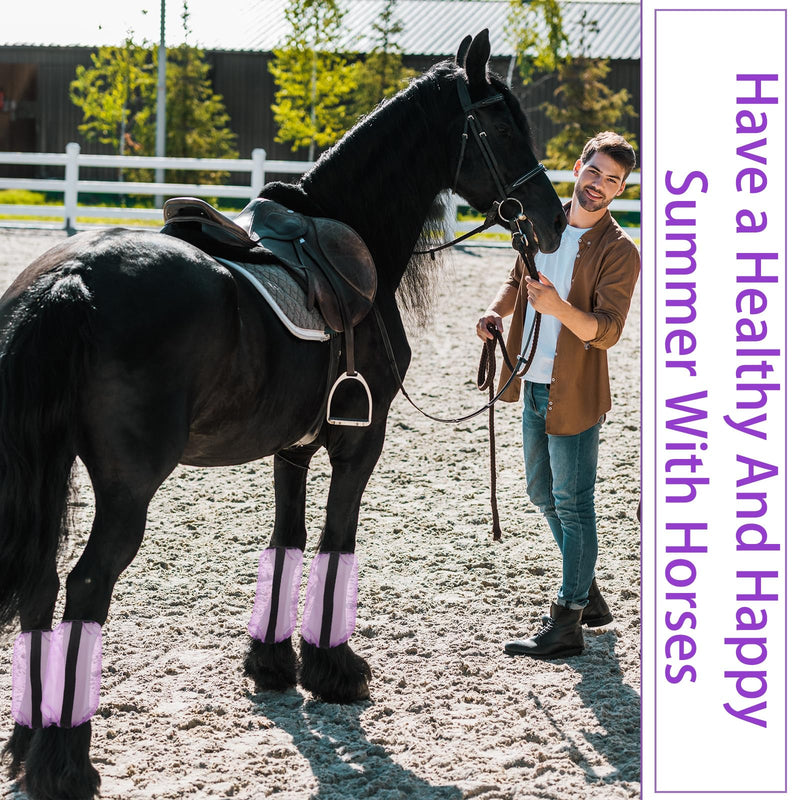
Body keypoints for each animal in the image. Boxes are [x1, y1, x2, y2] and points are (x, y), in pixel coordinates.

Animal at [0, 30, 565, 800]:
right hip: (126, 489)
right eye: (502, 126)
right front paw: (335, 669)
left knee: (39, 584)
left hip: (45, 469)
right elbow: (335, 542)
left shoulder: (291, 447)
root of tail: (68, 279)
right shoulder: (360, 440)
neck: (356, 231)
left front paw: (273, 663)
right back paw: (66, 761)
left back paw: (31, 743)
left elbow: (288, 539)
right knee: (85, 587)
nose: (555, 219)